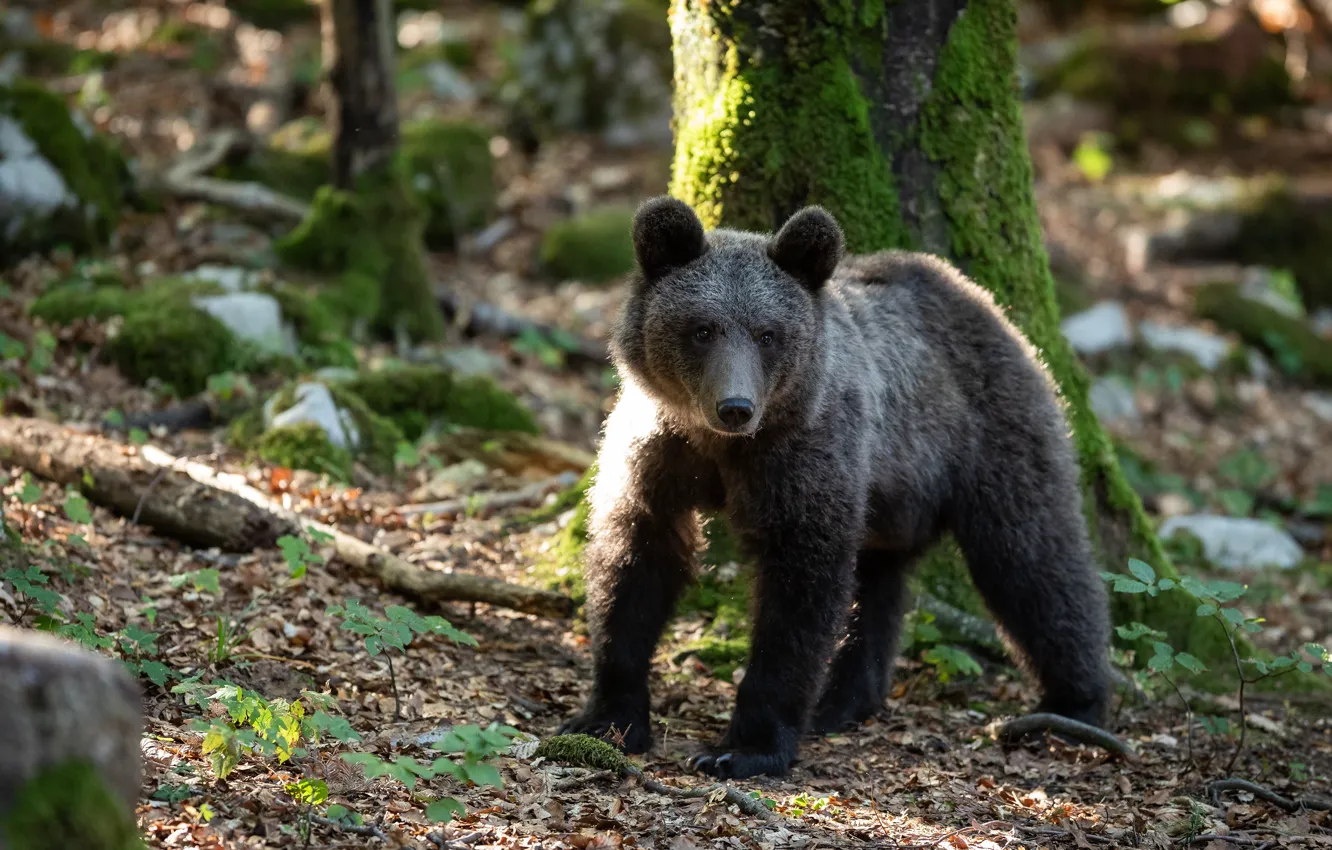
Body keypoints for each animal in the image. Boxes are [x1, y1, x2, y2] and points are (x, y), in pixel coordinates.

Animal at [557, 196, 1112, 780]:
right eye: (702, 328)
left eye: (768, 333)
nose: (735, 407)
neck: (722, 449)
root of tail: (982, 300)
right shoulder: (659, 454)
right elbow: (636, 563)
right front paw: (608, 717)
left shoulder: (804, 459)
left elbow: (799, 594)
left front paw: (744, 747)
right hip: (890, 498)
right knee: (879, 586)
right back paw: (843, 700)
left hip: (991, 437)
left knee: (1032, 560)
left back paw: (1074, 704)